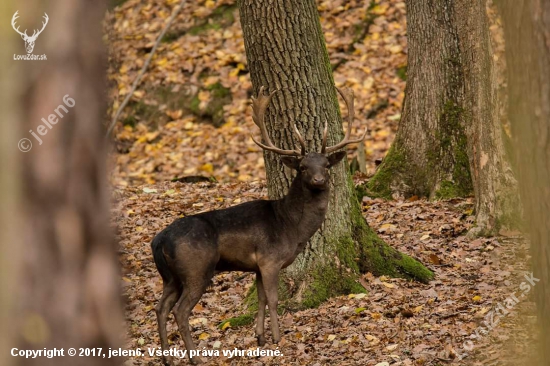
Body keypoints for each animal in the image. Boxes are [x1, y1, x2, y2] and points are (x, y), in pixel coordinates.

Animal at [152, 87, 366, 364]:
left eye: (327, 165)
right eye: (303, 167)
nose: (319, 180)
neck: (290, 226)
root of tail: (159, 240)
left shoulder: (256, 265)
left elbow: (262, 298)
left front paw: (260, 337)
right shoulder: (270, 259)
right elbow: (274, 299)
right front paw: (277, 338)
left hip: (170, 276)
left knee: (160, 307)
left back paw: (167, 358)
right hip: (196, 268)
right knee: (180, 311)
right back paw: (195, 357)